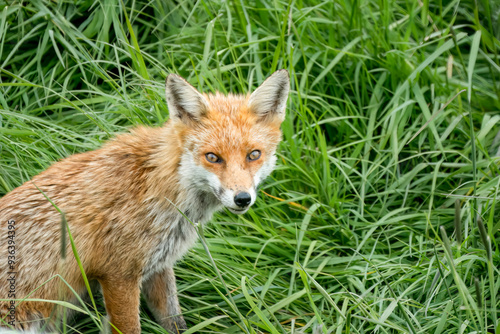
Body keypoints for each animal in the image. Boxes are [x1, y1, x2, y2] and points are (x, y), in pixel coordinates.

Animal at [0, 69, 290, 332]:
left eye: (254, 154)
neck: (158, 186)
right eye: (213, 157)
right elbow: (130, 326)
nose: (242, 199)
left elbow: (175, 323)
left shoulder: (159, 266)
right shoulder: (118, 274)